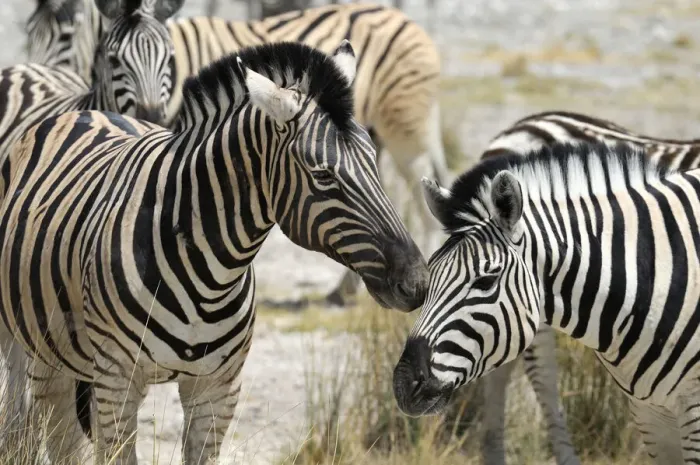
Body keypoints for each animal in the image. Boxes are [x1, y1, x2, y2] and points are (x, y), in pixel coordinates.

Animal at [0, 40, 428, 464]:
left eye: (374, 162)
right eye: (322, 175)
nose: (417, 283)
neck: (210, 273)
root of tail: (89, 112)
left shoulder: (218, 390)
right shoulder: (117, 383)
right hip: (43, 349)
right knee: (45, 428)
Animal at [25, 1, 449, 305]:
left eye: (66, 36)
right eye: (30, 34)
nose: (42, 72)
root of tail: (405, 19)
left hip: (404, 125)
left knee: (420, 197)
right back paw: (344, 290)